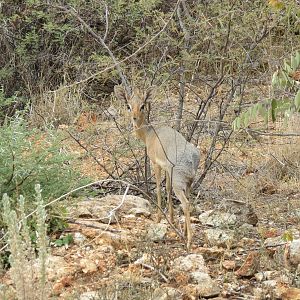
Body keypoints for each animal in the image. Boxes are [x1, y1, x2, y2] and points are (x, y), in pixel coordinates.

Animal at [114, 84, 199, 248]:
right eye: (128, 106)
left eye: (142, 105)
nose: (134, 118)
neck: (149, 135)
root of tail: (192, 156)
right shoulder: (166, 169)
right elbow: (167, 189)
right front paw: (171, 219)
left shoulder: (155, 164)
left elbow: (159, 188)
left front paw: (159, 218)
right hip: (189, 183)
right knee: (189, 201)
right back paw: (185, 232)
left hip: (179, 182)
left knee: (185, 203)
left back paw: (189, 240)